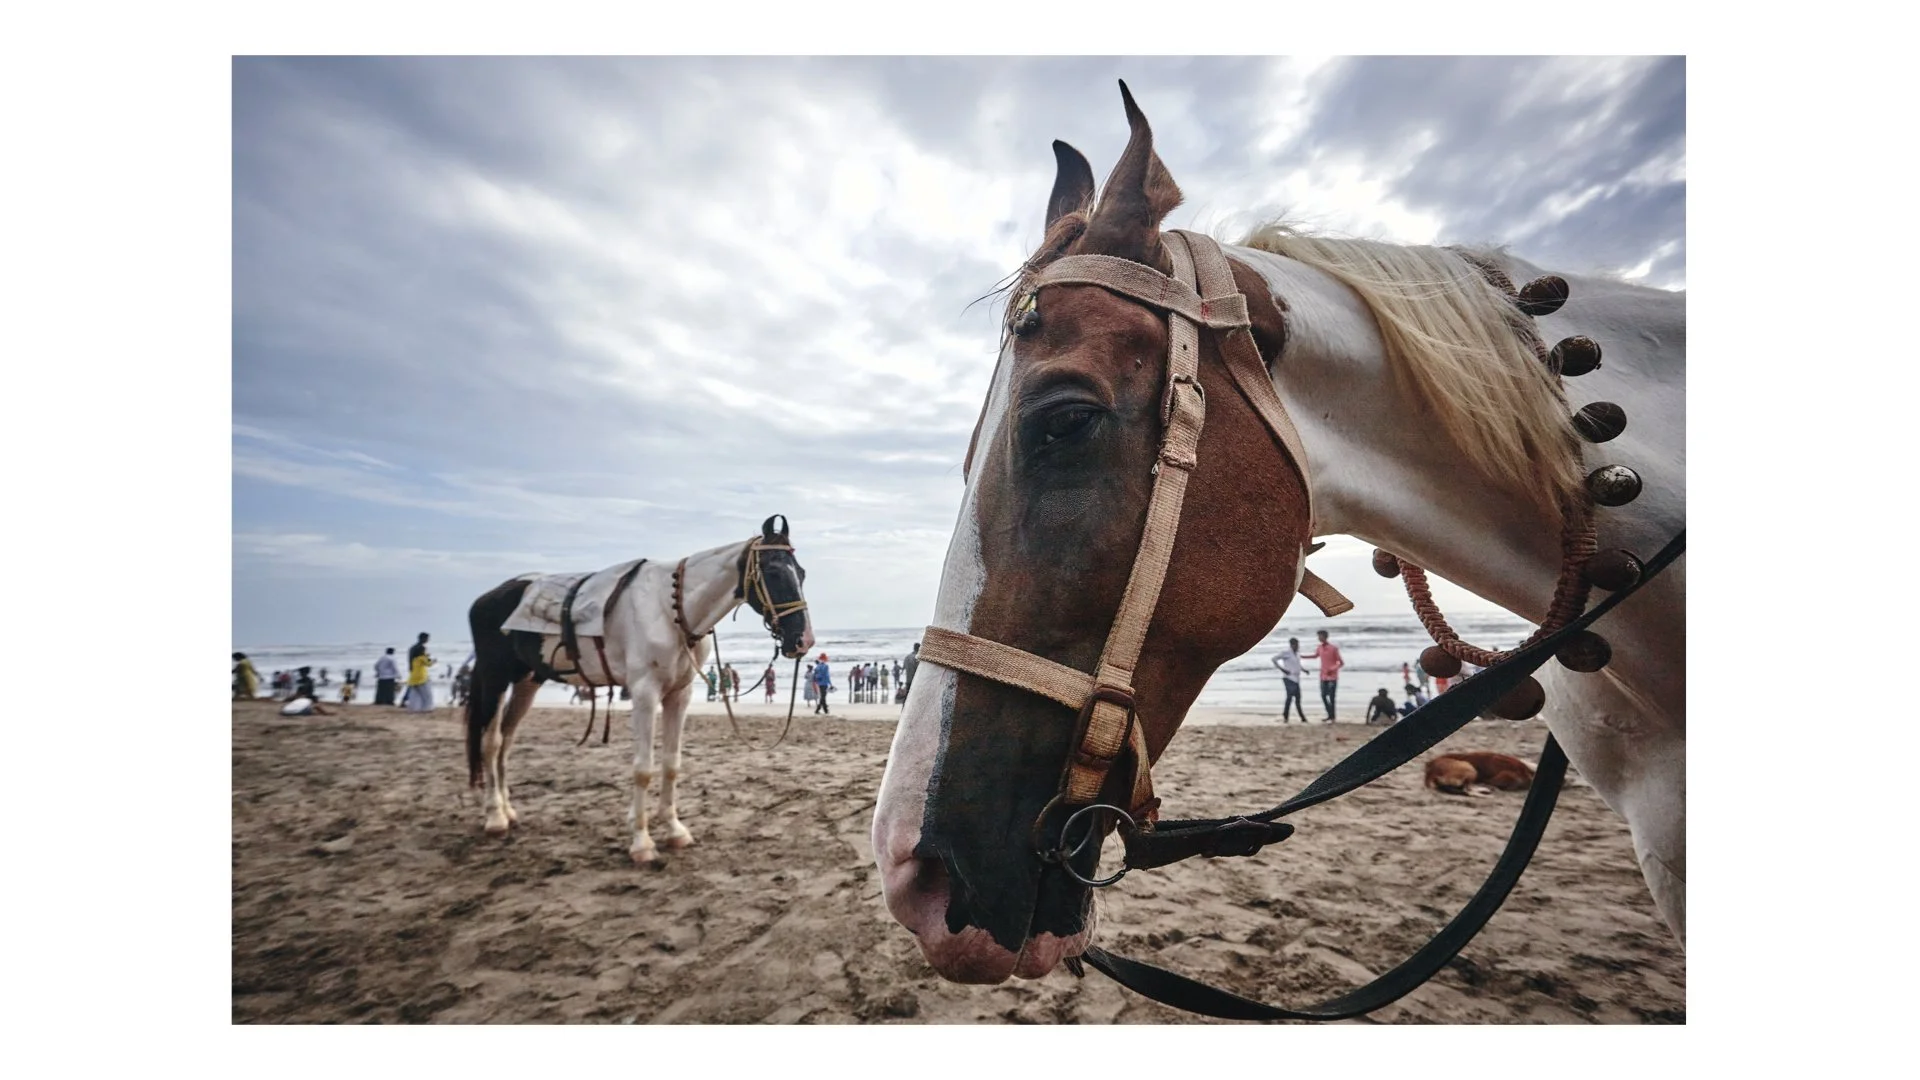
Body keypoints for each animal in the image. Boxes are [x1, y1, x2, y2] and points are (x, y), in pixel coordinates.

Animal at [464, 515, 814, 865]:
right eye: (773, 572)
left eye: (801, 573)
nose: (803, 641)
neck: (671, 609)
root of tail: (485, 599)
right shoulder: (645, 694)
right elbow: (643, 769)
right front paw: (642, 843)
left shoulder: (679, 696)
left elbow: (672, 765)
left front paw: (674, 831)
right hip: (495, 679)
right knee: (491, 743)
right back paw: (495, 817)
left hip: (527, 681)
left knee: (507, 740)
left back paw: (508, 811)